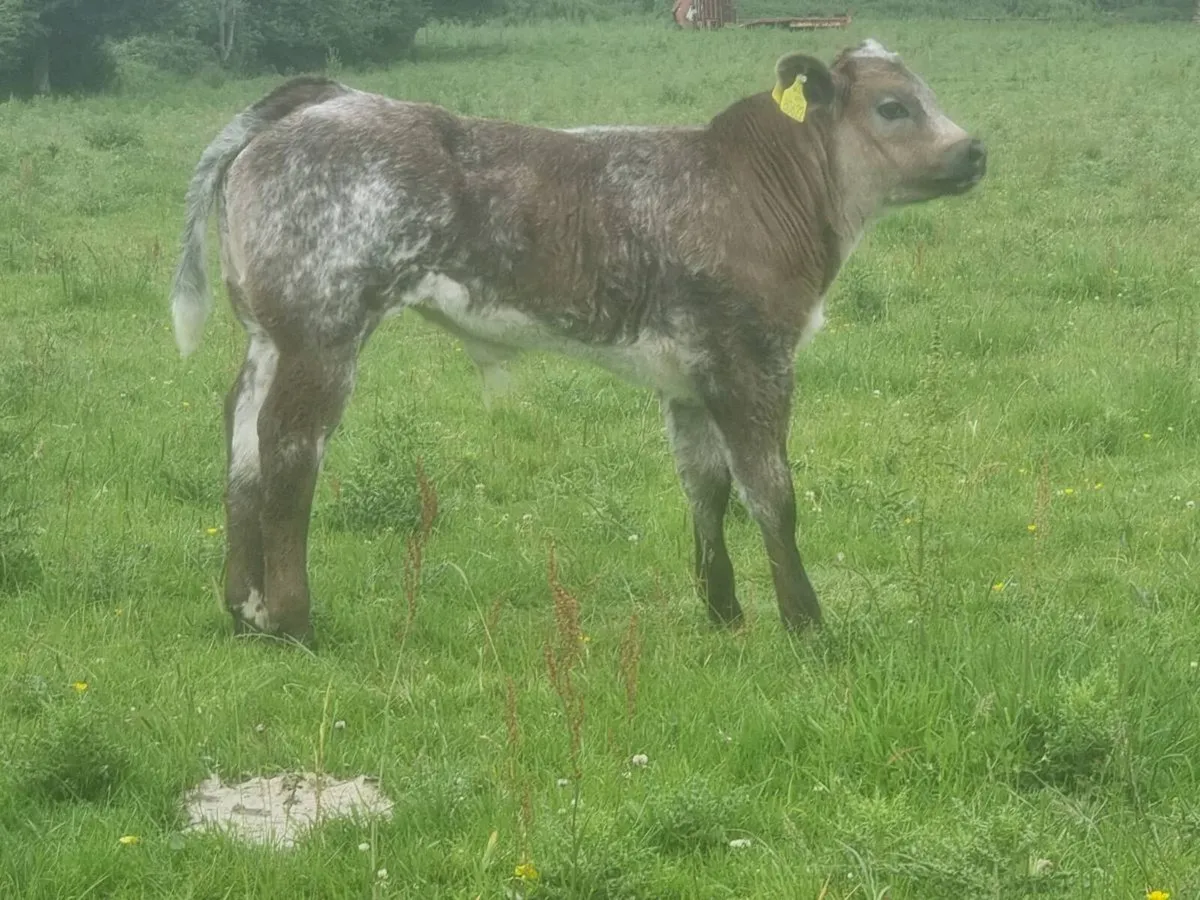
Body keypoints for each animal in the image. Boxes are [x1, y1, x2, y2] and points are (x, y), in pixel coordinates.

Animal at [169, 39, 986, 646]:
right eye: (893, 106)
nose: (974, 150)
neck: (748, 191)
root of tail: (329, 96)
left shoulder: (689, 374)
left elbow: (706, 486)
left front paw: (723, 612)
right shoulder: (752, 358)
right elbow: (771, 492)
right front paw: (806, 624)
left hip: (270, 334)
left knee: (241, 436)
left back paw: (243, 609)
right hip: (323, 329)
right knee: (288, 445)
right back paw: (292, 620)